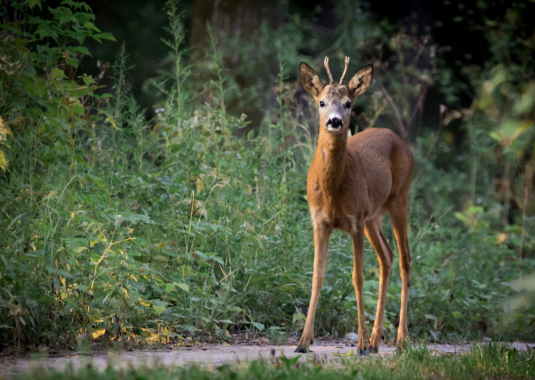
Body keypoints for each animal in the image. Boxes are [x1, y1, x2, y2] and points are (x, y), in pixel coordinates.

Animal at [298, 57, 414, 356]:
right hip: (374, 216)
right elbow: (317, 275)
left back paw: (399, 340)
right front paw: (303, 341)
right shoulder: (320, 222)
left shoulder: (355, 221)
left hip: (399, 200)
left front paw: (359, 344)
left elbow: (358, 277)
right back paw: (375, 339)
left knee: (405, 261)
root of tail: (400, 140)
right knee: (387, 257)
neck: (332, 192)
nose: (335, 121)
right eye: (321, 102)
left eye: (348, 102)